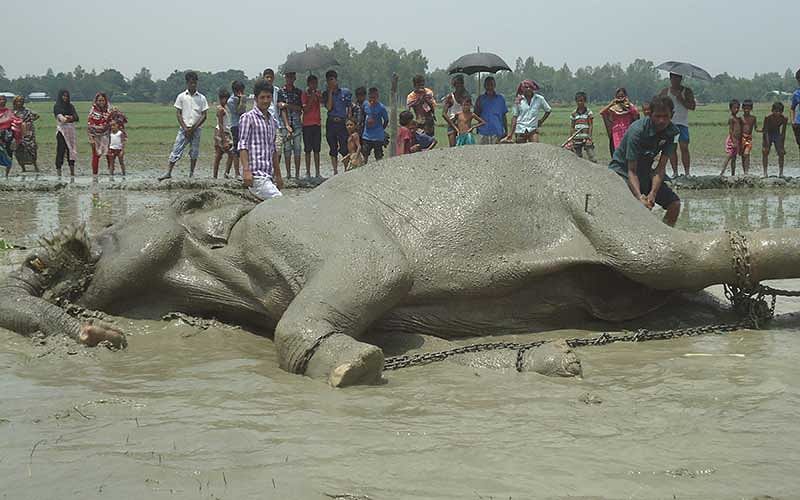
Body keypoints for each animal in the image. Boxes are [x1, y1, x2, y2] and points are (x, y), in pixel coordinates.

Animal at [1, 145, 800, 386]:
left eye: (107, 229)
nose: (51, 250)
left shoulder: (289, 227)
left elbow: (380, 270)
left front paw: (351, 368)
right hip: (617, 270)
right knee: (676, 293)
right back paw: (743, 312)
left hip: (598, 205)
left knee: (686, 252)